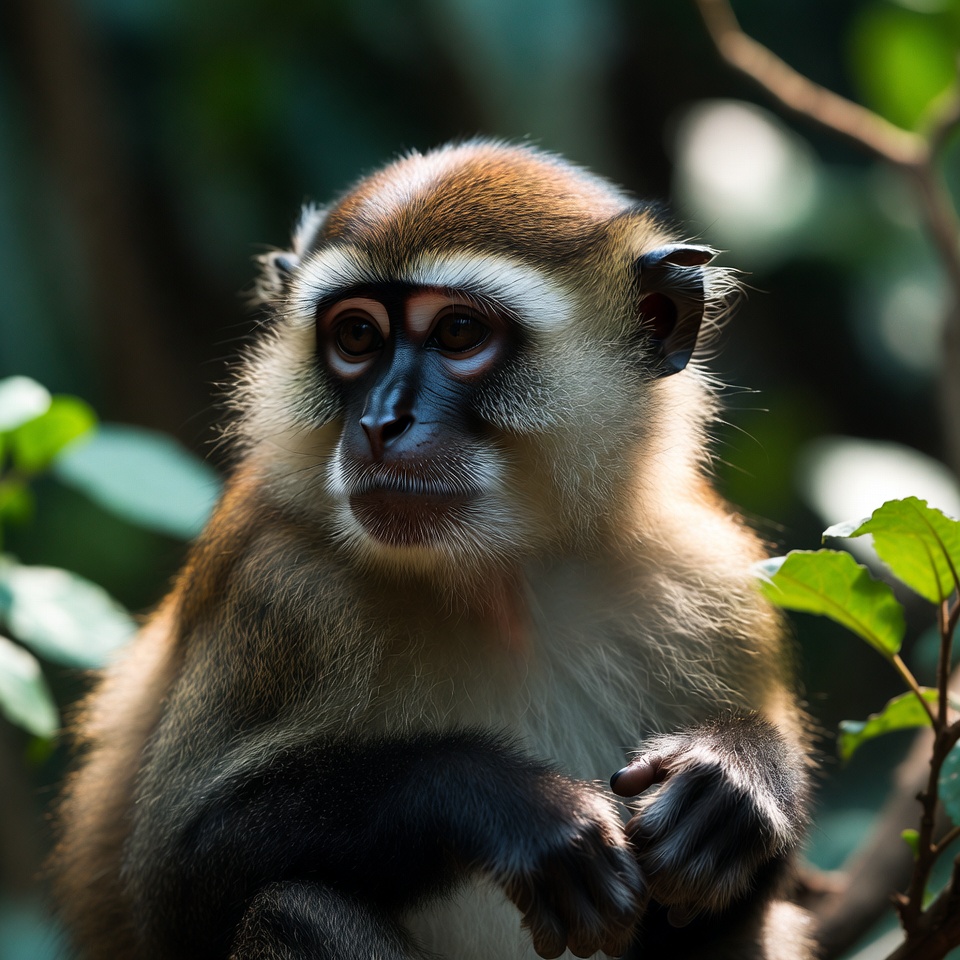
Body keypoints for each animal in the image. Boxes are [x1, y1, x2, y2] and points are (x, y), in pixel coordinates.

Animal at [53, 140, 813, 960]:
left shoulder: (713, 580)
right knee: (291, 907)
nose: (382, 421)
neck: (500, 577)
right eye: (357, 337)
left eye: (457, 333)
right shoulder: (280, 591)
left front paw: (743, 775)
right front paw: (502, 801)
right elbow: (174, 885)